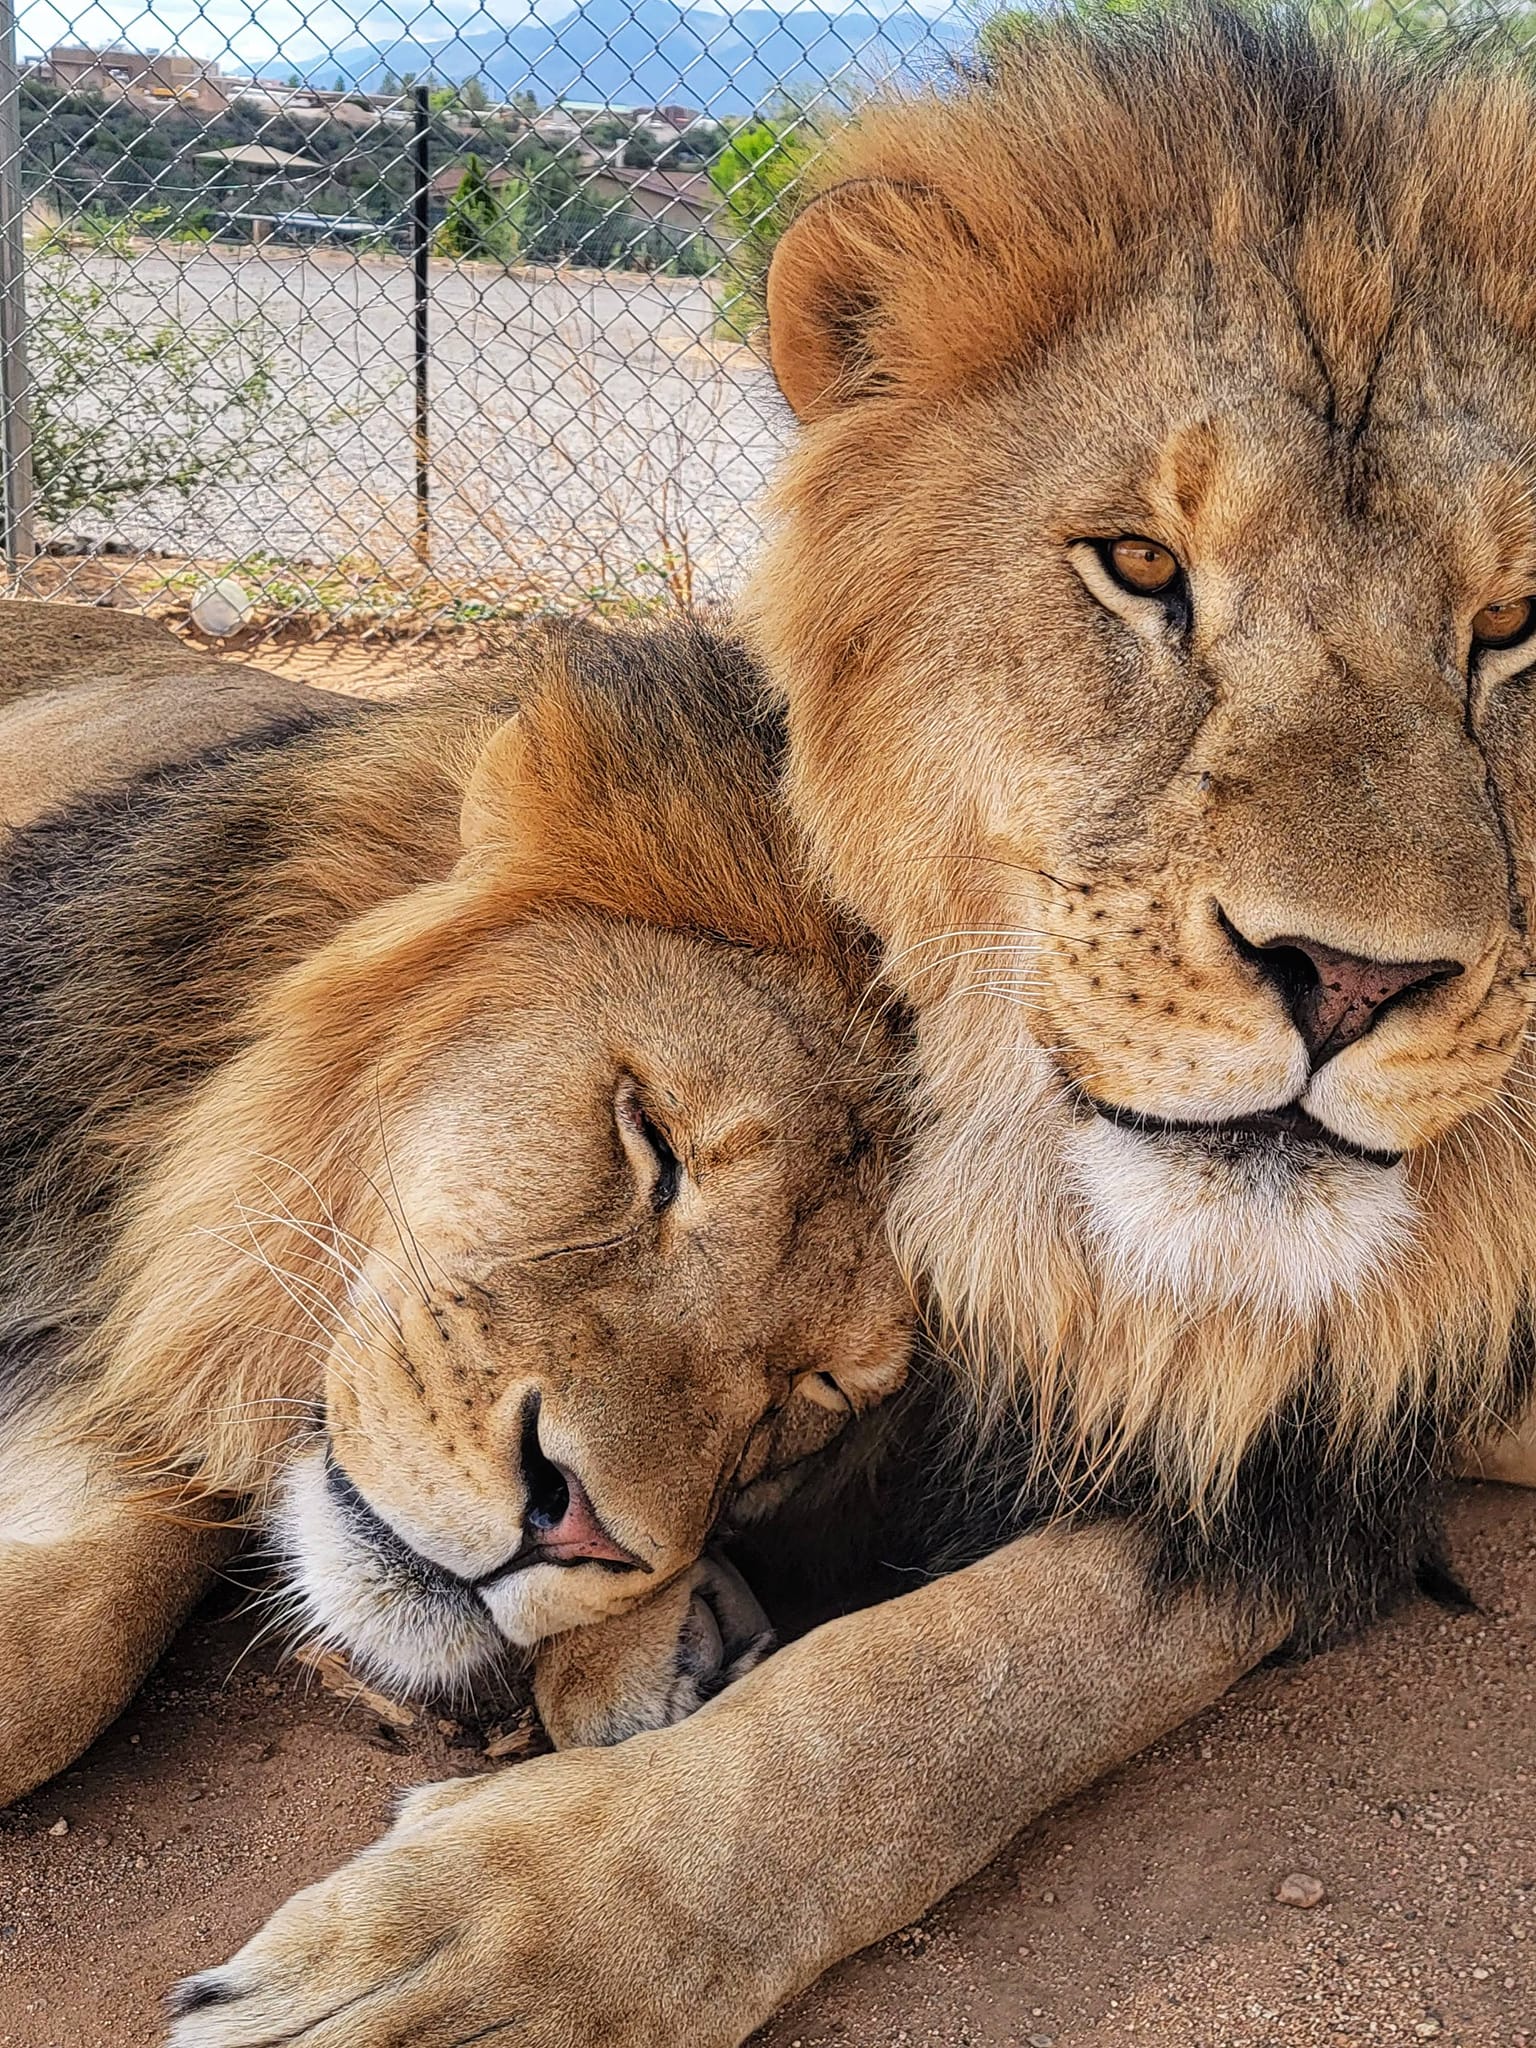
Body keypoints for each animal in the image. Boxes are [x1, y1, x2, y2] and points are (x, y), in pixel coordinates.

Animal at [163, 15, 1536, 2048]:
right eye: (1140, 566)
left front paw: (498, 1928)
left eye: (1517, 622)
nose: (1350, 981)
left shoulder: (1309, 1475)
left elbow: (936, 1698)